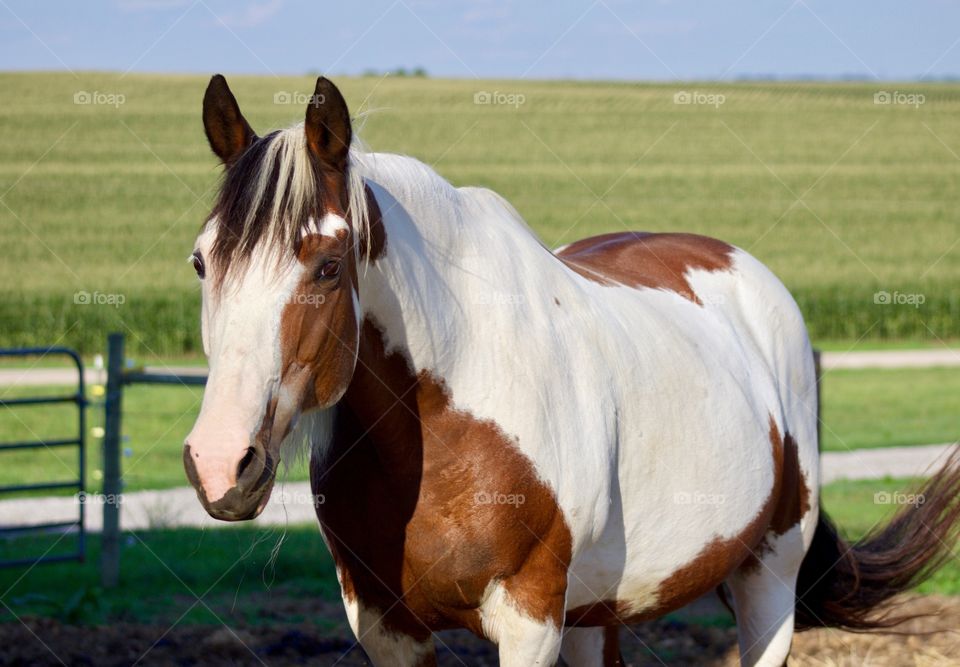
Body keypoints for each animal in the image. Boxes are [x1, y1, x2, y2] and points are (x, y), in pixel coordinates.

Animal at [186, 75, 960, 664]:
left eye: (326, 265)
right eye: (201, 261)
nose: (222, 463)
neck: (450, 415)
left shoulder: (529, 619)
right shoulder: (386, 624)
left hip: (768, 573)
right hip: (597, 610)